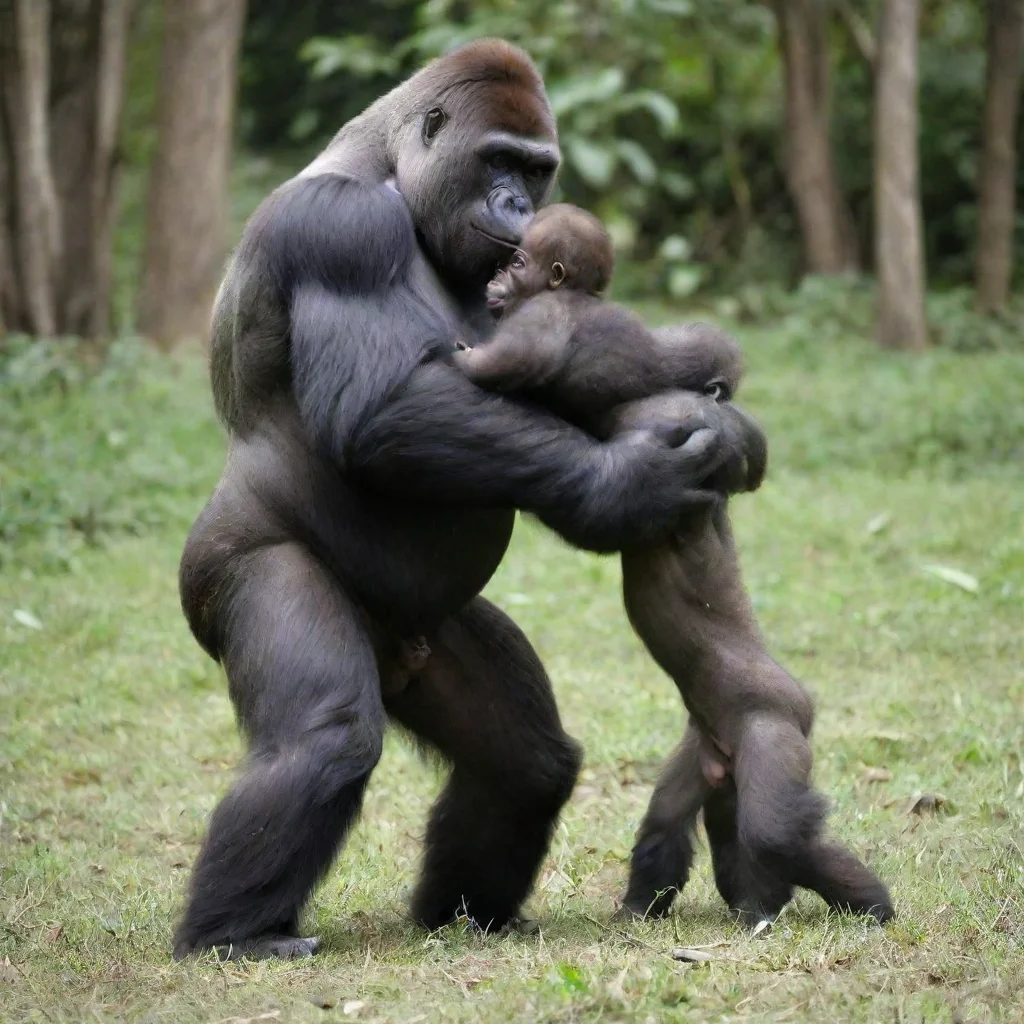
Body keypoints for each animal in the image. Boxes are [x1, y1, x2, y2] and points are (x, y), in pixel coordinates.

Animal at [454, 203, 895, 927]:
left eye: (517, 261)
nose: (492, 283)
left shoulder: (550, 324)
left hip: (774, 730)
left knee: (777, 830)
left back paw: (866, 903)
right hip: (707, 753)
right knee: (673, 820)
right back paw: (703, 903)